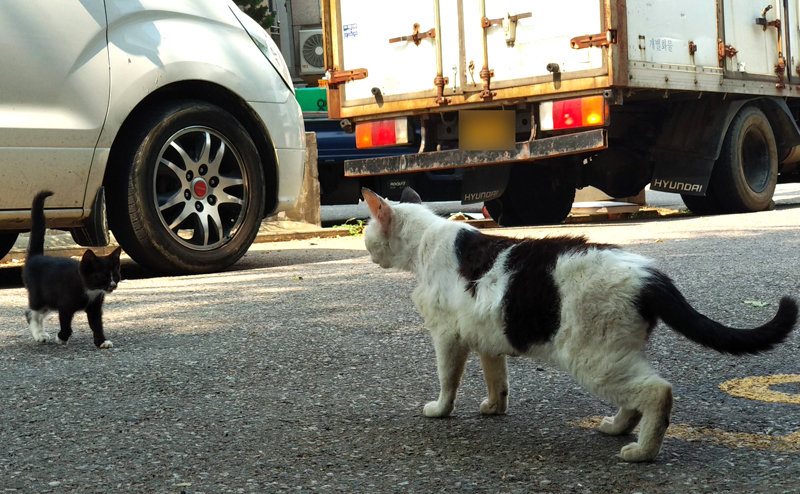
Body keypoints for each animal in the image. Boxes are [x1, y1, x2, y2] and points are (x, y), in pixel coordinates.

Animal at [23, 191, 122, 349]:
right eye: (103, 276)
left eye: (116, 275)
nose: (112, 285)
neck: (89, 290)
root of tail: (36, 256)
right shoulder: (65, 306)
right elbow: (66, 324)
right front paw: (61, 337)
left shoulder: (95, 307)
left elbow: (97, 324)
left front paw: (101, 341)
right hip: (39, 295)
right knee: (33, 313)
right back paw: (39, 334)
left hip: (50, 299)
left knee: (33, 312)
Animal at [361, 187, 797, 462]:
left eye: (366, 234)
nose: (368, 256)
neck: (425, 241)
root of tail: (651, 275)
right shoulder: (485, 335)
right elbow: (496, 378)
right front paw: (493, 407)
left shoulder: (446, 336)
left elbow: (448, 379)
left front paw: (440, 410)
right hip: (614, 354)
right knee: (636, 397)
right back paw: (618, 427)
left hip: (591, 358)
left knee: (658, 392)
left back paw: (642, 452)